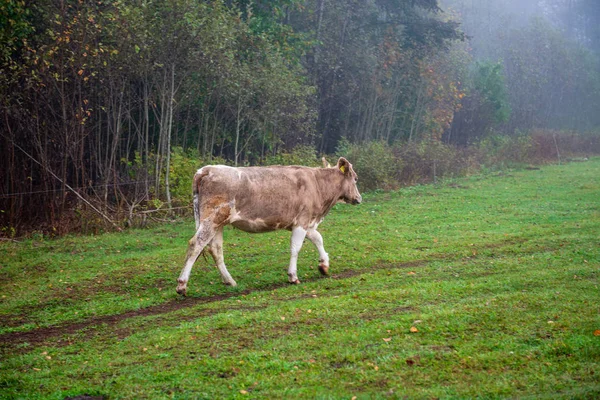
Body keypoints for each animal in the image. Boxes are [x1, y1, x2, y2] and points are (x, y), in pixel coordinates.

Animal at [173, 158, 360, 296]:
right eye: (355, 178)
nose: (359, 198)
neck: (318, 184)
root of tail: (206, 169)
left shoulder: (303, 222)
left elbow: (318, 238)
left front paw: (324, 265)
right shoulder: (302, 220)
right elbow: (296, 247)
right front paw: (293, 276)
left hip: (218, 223)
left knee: (215, 249)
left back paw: (229, 281)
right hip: (212, 218)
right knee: (196, 244)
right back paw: (182, 285)